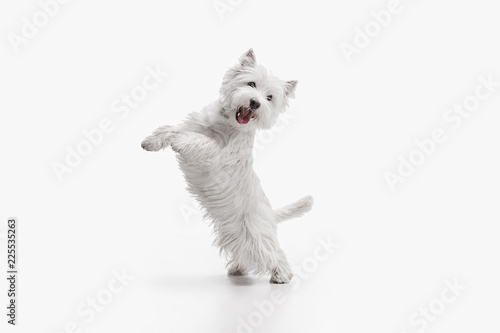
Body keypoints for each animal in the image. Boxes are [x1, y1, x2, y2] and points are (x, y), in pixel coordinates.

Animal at [141, 49, 312, 282]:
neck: (227, 123)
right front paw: (151, 142)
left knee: (273, 253)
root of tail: (270, 213)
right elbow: (171, 128)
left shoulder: (216, 155)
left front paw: (177, 142)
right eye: (251, 84)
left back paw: (282, 276)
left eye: (270, 97)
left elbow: (198, 140)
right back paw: (238, 269)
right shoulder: (194, 126)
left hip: (256, 234)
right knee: (244, 252)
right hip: (235, 232)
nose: (255, 103)